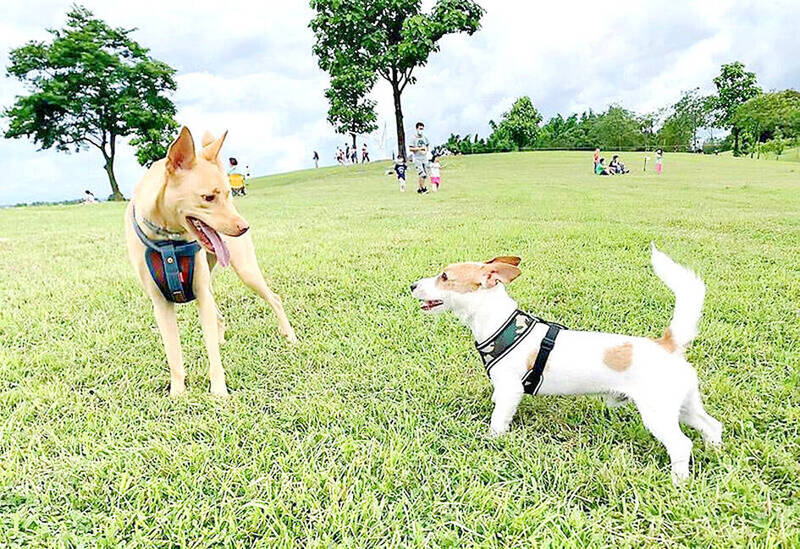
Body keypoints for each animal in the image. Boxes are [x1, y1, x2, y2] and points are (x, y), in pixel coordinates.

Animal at [126, 127, 296, 396]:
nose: (244, 227)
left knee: (275, 299)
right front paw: (178, 394)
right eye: (208, 197)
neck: (168, 241)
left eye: (227, 194)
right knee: (219, 317)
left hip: (245, 270)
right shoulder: (161, 303)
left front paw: (219, 393)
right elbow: (173, 355)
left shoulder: (201, 294)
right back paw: (221, 339)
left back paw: (289, 336)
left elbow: (213, 358)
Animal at [412, 246, 724, 482]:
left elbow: (498, 420)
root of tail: (669, 345)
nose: (412, 285)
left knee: (682, 444)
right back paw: (716, 453)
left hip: (657, 413)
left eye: (444, 276)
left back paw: (679, 480)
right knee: (712, 426)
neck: (502, 325)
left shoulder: (510, 390)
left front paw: (492, 441)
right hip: (684, 407)